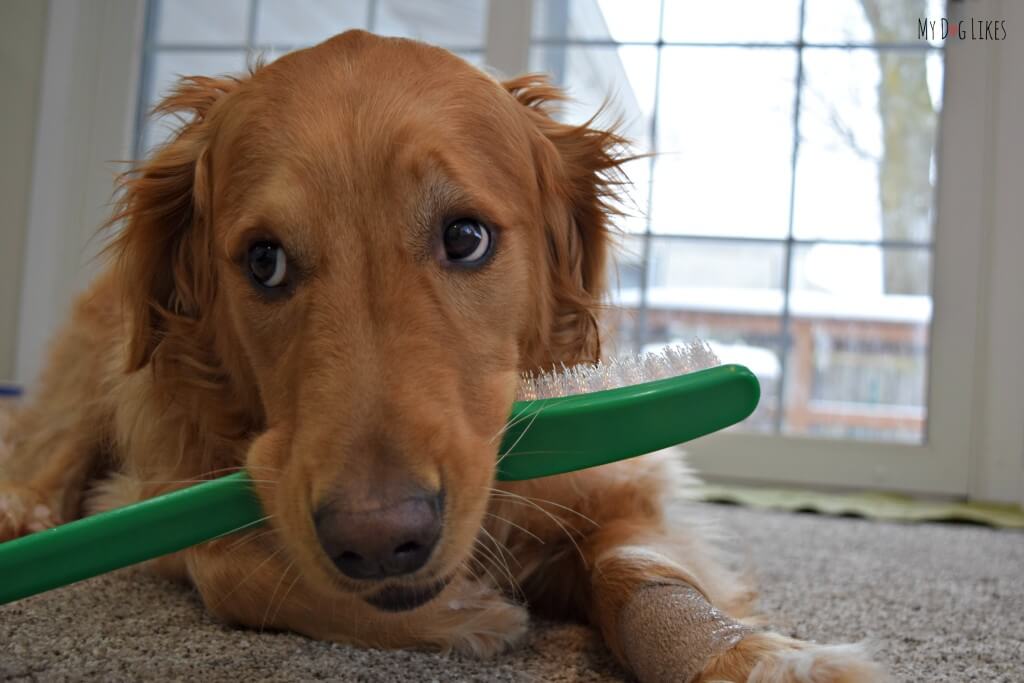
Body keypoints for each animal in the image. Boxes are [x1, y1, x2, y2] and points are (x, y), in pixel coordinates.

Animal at [0, 31, 884, 683]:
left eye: (465, 237)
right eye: (264, 261)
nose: (379, 540)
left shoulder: (621, 485)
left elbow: (640, 568)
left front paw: (752, 655)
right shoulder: (169, 481)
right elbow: (227, 566)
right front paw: (463, 612)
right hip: (101, 366)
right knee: (48, 448)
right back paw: (23, 510)